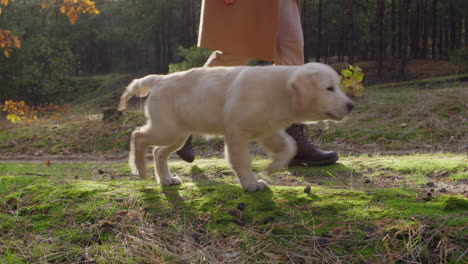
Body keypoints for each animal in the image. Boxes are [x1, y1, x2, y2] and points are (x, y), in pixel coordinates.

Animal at [119, 63, 352, 193]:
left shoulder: (269, 130)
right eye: (329, 88)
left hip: (178, 134)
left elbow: (290, 146)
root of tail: (159, 78)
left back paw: (166, 179)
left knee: (158, 152)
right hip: (167, 129)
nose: (351, 105)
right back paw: (139, 170)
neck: (279, 90)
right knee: (138, 136)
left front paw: (271, 168)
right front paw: (251, 184)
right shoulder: (237, 134)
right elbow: (242, 161)